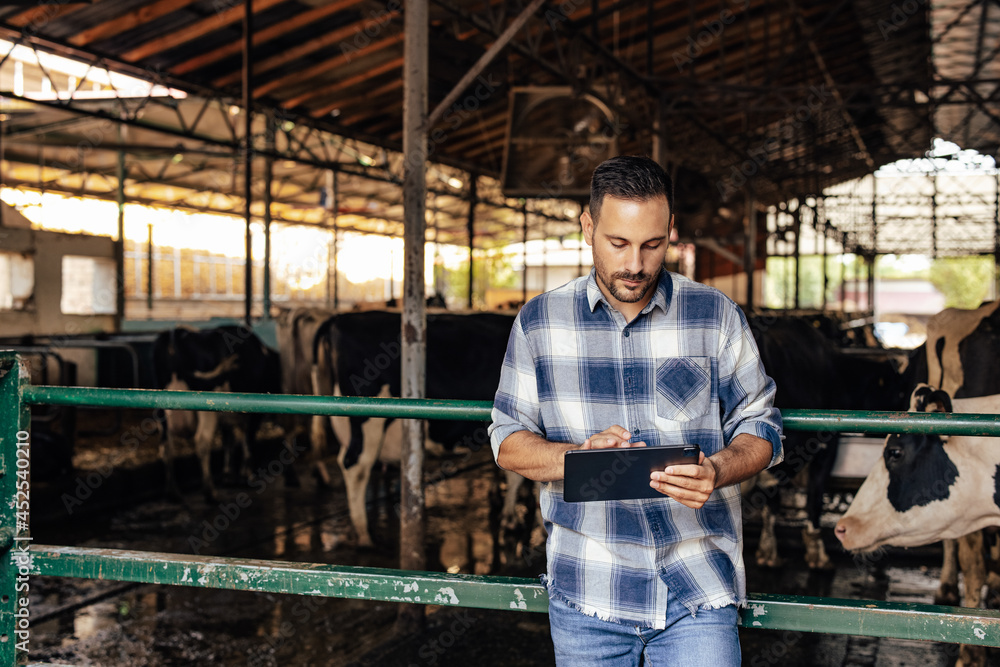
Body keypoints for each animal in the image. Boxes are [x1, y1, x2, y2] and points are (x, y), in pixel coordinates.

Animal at [154, 324, 284, 500]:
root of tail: (174, 333)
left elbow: (228, 441)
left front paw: (228, 475)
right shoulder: (254, 416)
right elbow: (248, 442)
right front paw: (247, 475)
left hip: (162, 408)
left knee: (166, 446)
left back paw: (172, 491)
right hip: (206, 407)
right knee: (202, 441)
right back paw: (210, 492)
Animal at [312, 310, 516, 544]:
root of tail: (338, 318)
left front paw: (497, 498)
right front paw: (509, 519)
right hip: (367, 419)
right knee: (355, 466)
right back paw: (364, 535)